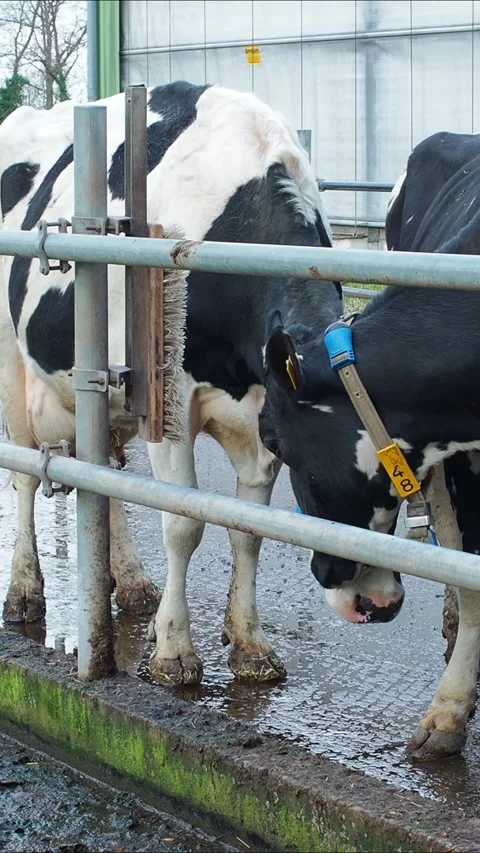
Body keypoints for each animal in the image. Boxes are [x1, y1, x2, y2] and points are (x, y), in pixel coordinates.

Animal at [0, 80, 346, 686]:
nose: (371, 600)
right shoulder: (171, 406)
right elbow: (184, 525)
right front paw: (173, 653)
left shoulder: (260, 411)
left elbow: (247, 528)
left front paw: (249, 644)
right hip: (9, 361)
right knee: (22, 474)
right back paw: (24, 590)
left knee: (103, 475)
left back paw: (131, 582)